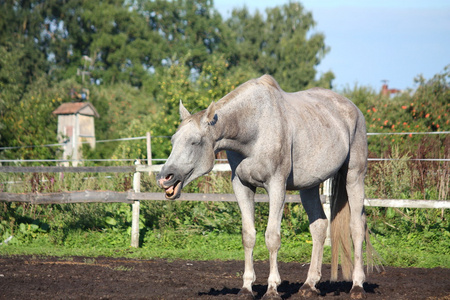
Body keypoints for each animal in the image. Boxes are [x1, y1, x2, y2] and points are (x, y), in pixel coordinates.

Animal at [156, 75, 374, 298]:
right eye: (173, 140)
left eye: (195, 142)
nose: (165, 177)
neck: (254, 128)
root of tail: (354, 109)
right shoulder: (242, 186)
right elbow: (248, 236)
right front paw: (246, 288)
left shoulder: (276, 185)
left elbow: (272, 237)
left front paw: (272, 289)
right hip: (309, 186)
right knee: (319, 226)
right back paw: (309, 285)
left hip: (354, 177)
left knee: (357, 227)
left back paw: (357, 286)